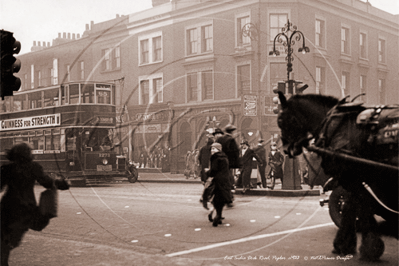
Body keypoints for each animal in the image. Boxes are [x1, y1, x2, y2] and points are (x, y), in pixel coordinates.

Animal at [276, 91, 398, 262]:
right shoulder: (353, 179)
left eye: (281, 120)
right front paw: (346, 244)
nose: (287, 149)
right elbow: (352, 207)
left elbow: (358, 207)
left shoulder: (351, 177)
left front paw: (368, 247)